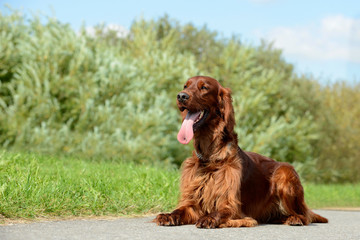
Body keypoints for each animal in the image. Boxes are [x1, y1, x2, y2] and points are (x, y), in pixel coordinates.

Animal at [153, 76, 328, 228]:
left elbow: (220, 212)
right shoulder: (192, 202)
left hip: (285, 172)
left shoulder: (231, 205)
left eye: (204, 87)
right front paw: (167, 215)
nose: (181, 96)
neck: (210, 156)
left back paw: (295, 219)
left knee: (304, 215)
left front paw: (209, 218)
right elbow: (180, 210)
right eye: (185, 86)